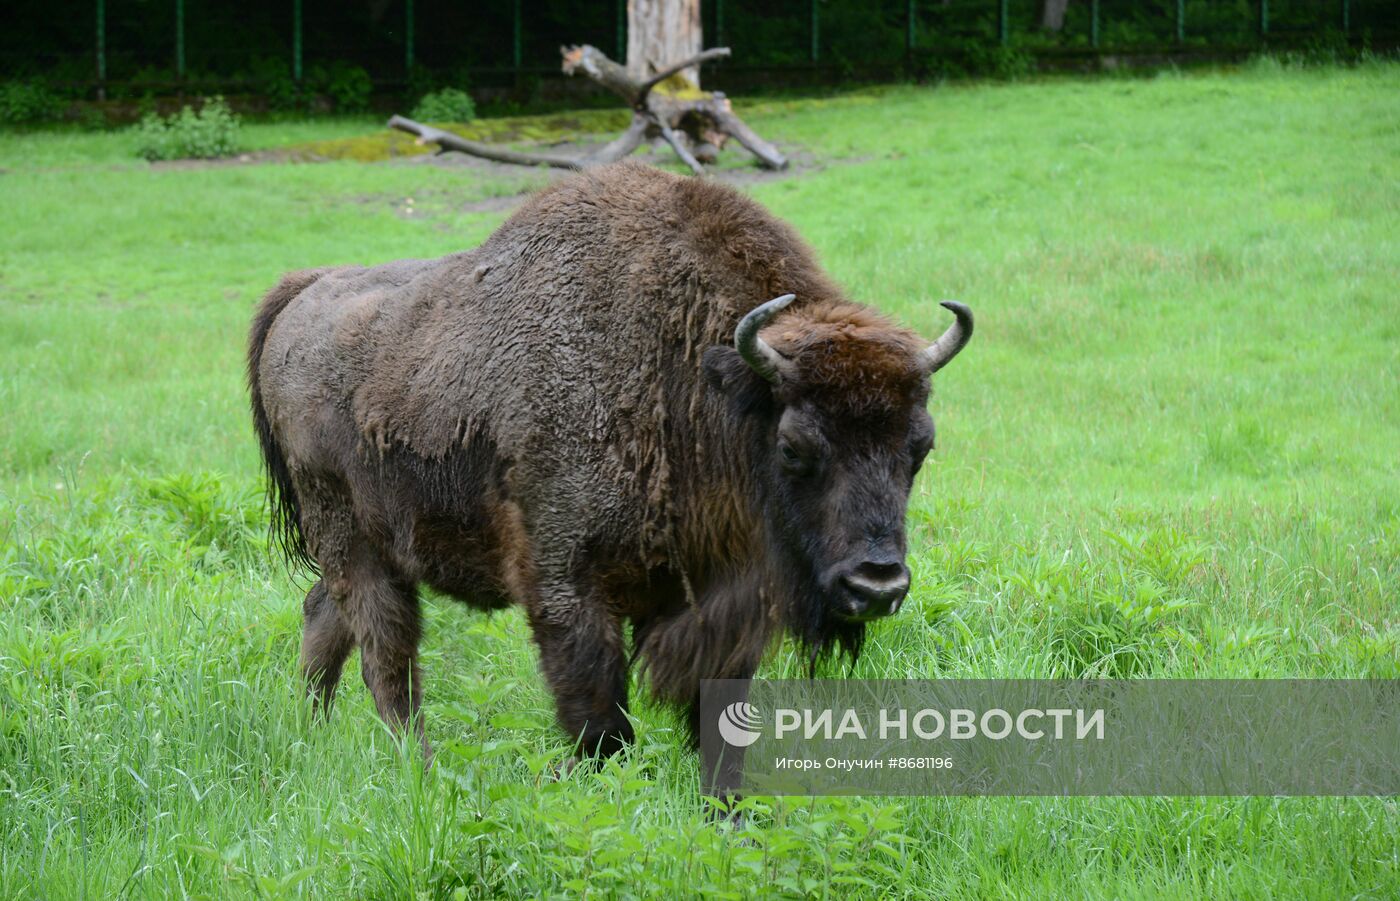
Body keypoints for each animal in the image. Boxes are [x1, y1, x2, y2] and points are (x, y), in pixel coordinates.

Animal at [249, 160, 974, 755]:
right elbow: (601, 723)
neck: (693, 379)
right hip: (351, 537)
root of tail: (306, 290)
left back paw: (312, 731)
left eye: (920, 445)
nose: (877, 584)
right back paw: (416, 762)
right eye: (794, 446)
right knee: (386, 652)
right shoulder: (568, 589)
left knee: (325, 615)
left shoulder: (713, 603)